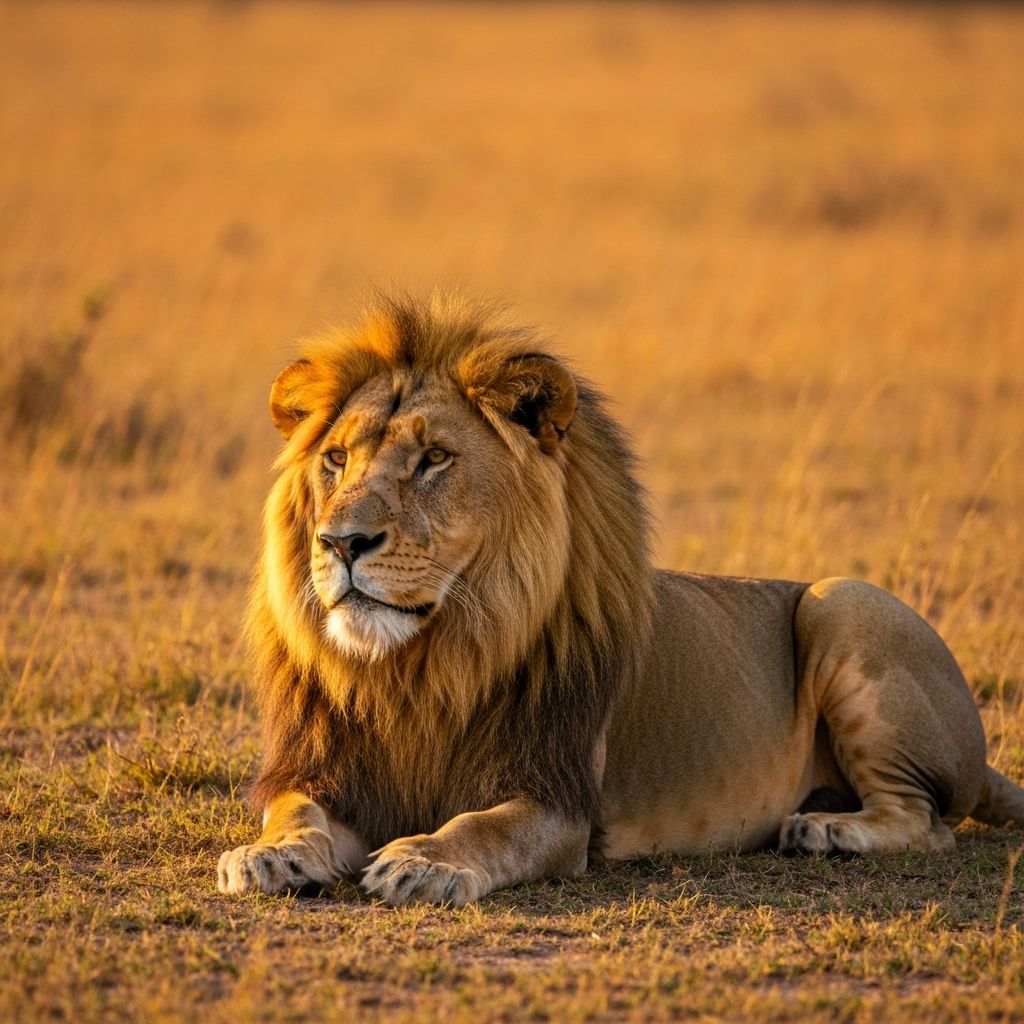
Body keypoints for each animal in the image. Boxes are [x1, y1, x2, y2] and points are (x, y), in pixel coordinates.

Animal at [218, 292, 1024, 906]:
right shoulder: (330, 773)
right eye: (336, 458)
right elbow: (294, 811)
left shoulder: (556, 799)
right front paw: (267, 855)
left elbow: (482, 828)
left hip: (842, 602)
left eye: (434, 459)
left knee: (928, 822)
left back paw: (825, 831)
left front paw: (424, 862)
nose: (341, 542)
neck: (421, 665)